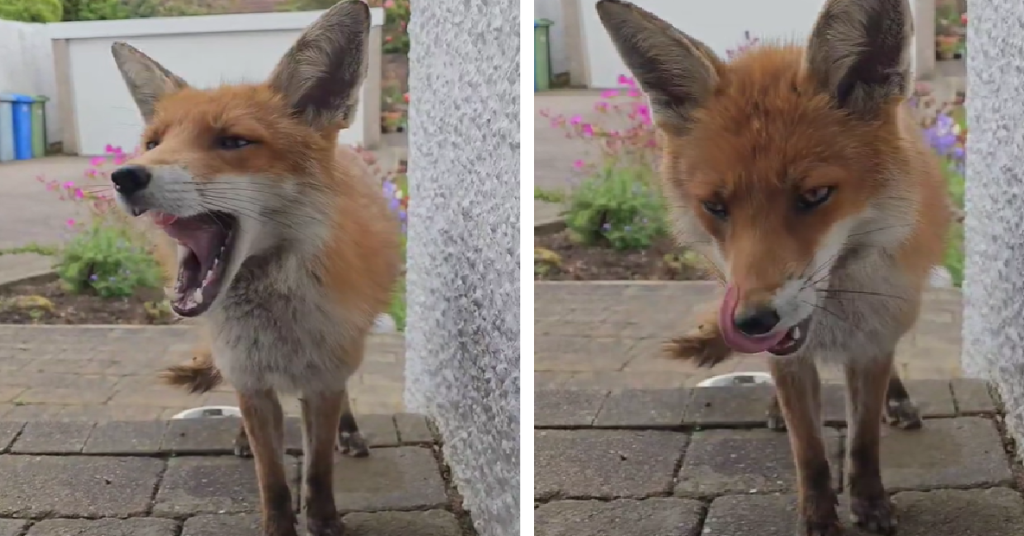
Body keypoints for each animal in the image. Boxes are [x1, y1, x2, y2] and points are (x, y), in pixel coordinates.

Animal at [108, 2, 401, 532]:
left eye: (233, 142)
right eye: (154, 142)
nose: (124, 176)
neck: (274, 329)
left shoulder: (323, 378)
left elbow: (318, 471)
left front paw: (324, 522)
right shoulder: (250, 379)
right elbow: (273, 480)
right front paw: (278, 523)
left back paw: (349, 432)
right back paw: (243, 439)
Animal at [598, 1, 950, 536]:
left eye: (815, 195)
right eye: (715, 207)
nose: (752, 320)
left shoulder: (870, 342)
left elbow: (863, 441)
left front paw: (869, 503)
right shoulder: (788, 359)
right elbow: (809, 451)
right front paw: (819, 518)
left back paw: (898, 399)